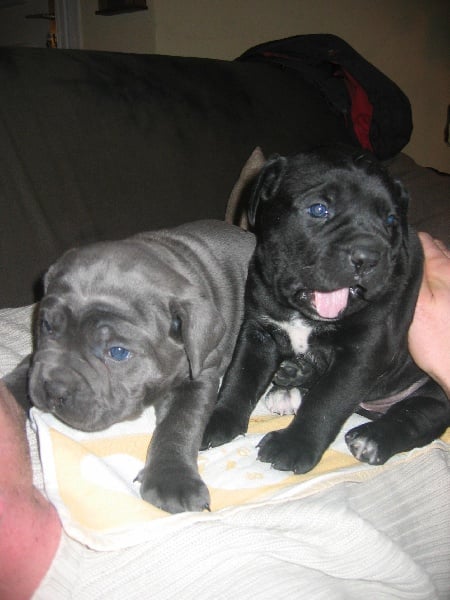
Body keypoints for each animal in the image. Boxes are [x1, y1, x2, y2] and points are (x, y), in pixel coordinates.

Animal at [7, 223, 255, 512]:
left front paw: (173, 481)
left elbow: (179, 423)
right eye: (46, 326)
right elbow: (26, 368)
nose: (54, 390)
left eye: (118, 352)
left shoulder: (199, 375)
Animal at [204, 146, 450, 474]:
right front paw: (216, 420)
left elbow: (327, 401)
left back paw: (372, 439)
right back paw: (293, 377)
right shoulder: (259, 332)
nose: (368, 257)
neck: (303, 314)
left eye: (390, 220)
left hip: (432, 390)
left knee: (422, 415)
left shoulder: (361, 353)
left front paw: (294, 445)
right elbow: (239, 378)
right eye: (319, 209)